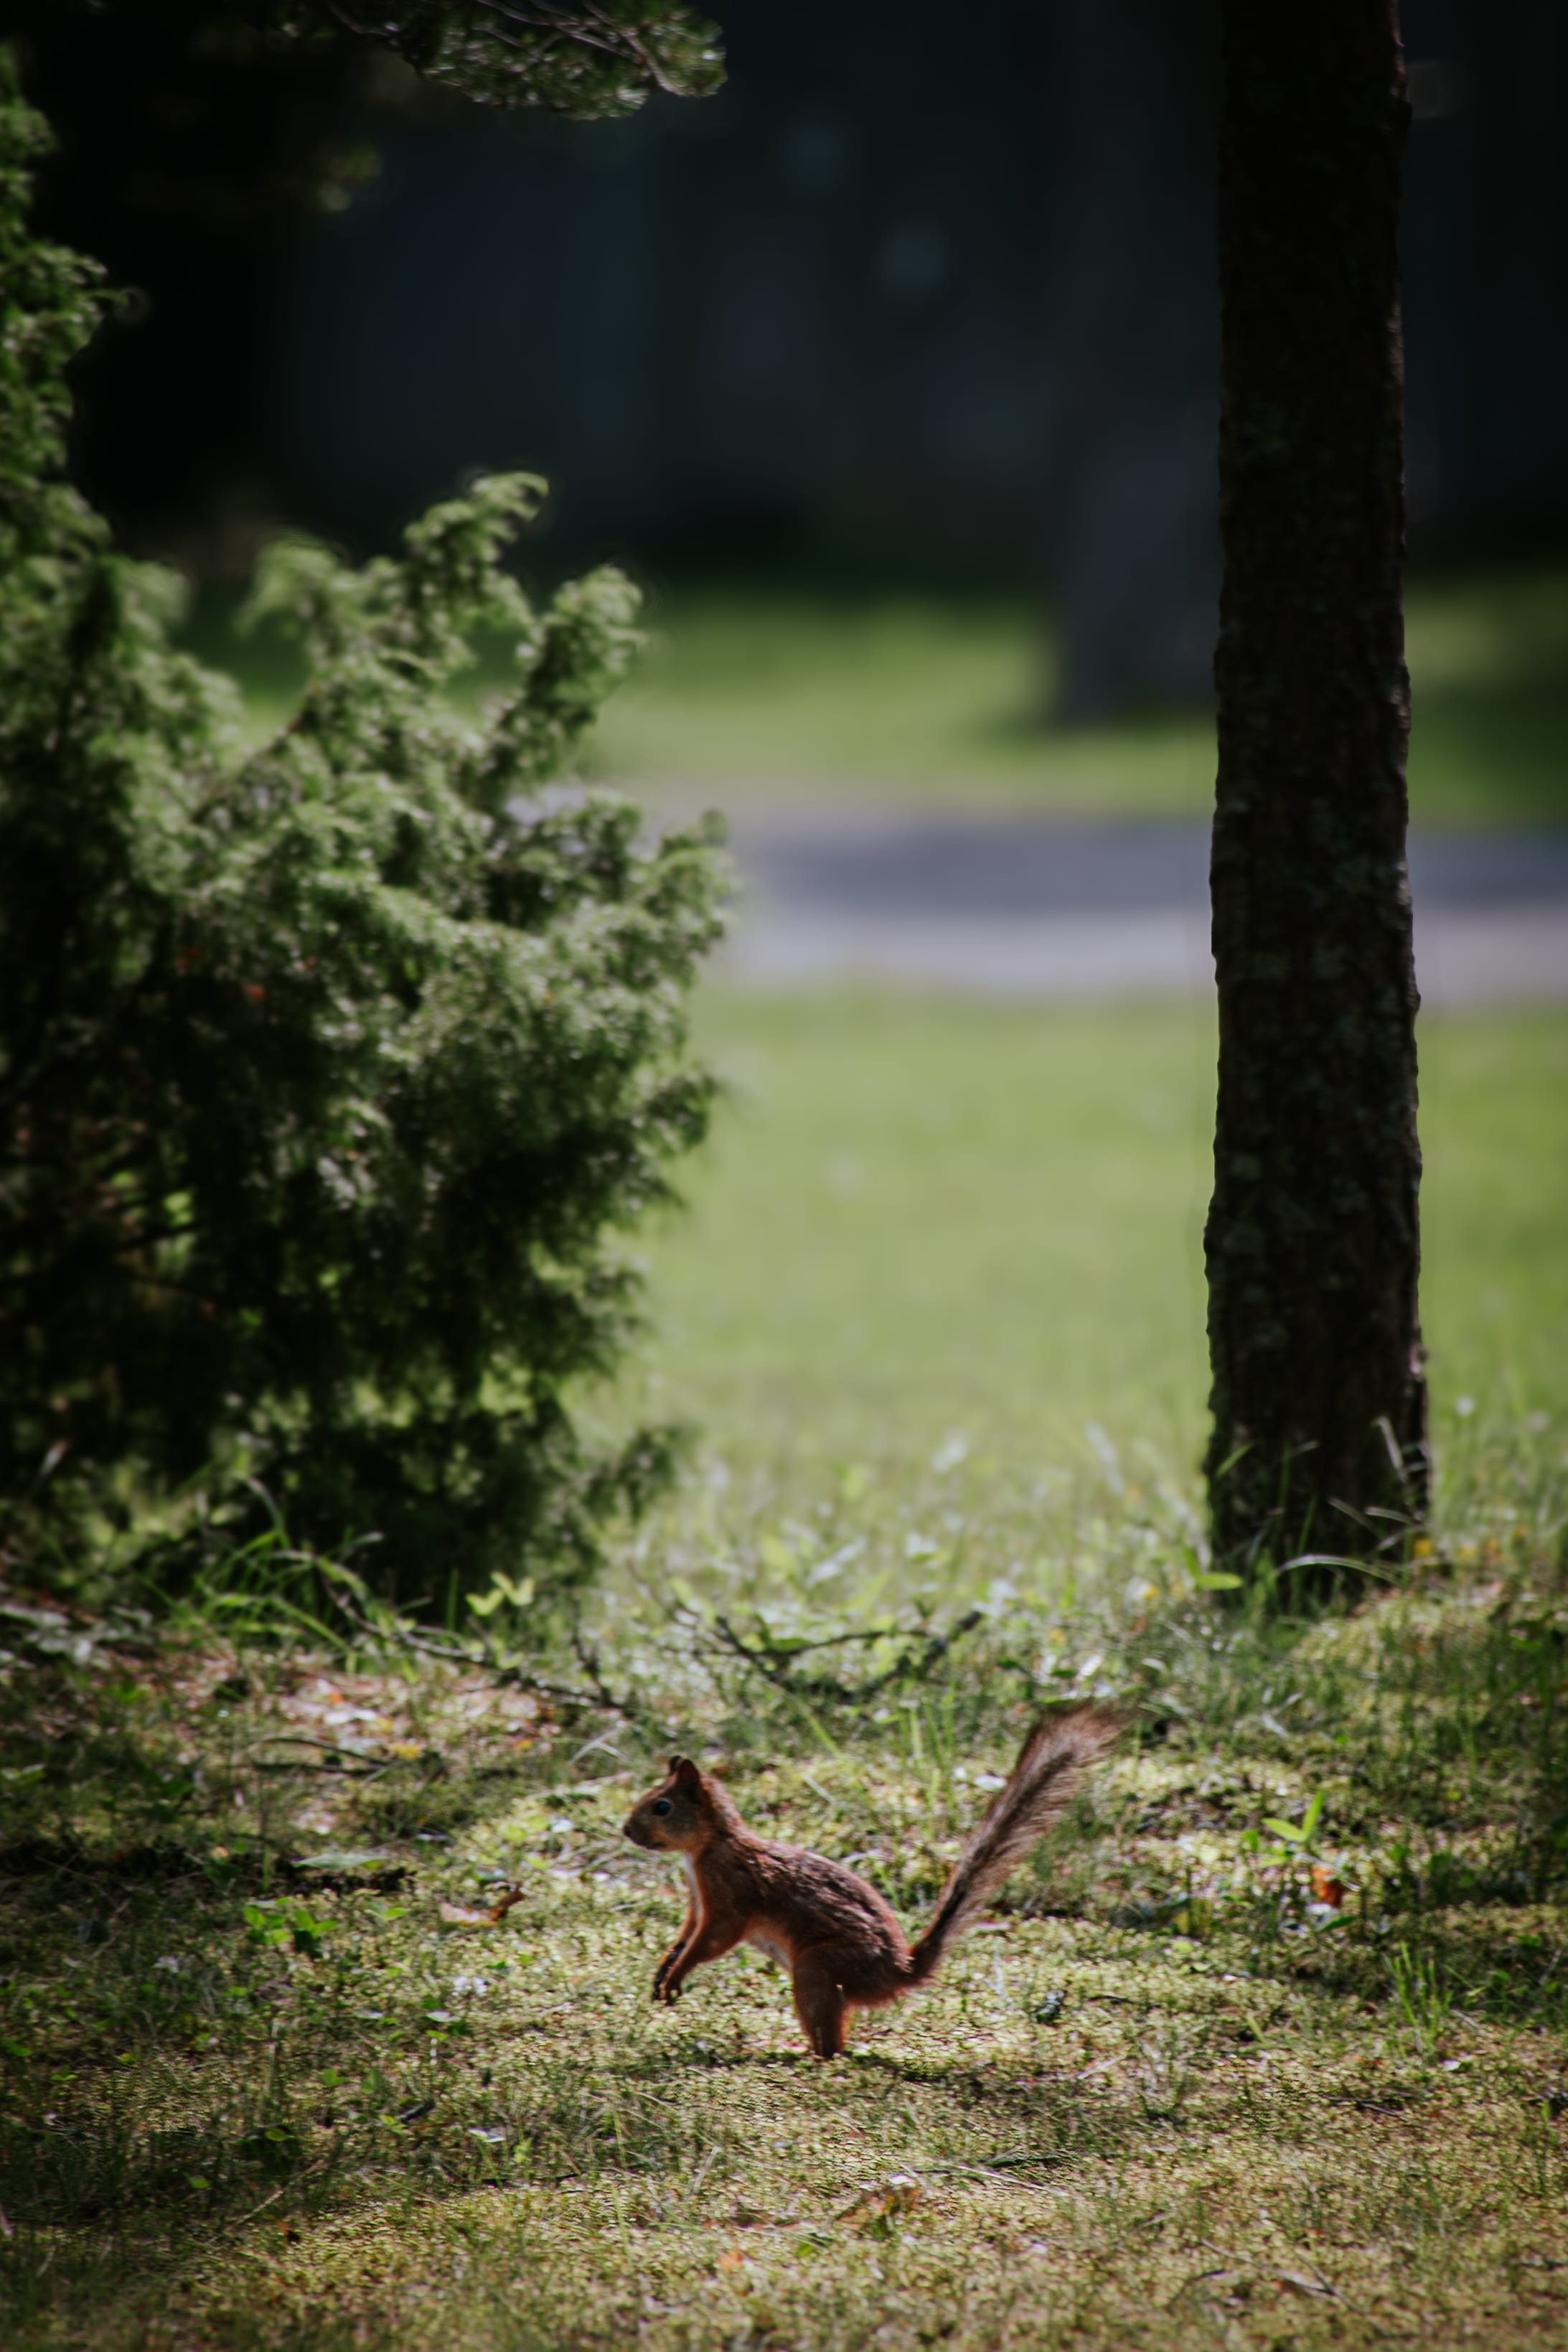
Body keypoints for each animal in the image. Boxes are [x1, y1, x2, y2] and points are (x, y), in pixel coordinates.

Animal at [620, 1708, 1118, 2057]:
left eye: (662, 1807)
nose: (626, 1831)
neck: (707, 1848)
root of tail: (899, 1972)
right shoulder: (697, 1901)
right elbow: (685, 1935)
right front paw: (663, 1972)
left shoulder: (729, 1895)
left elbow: (712, 1940)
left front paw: (676, 1978)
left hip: (818, 1969)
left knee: (831, 2046)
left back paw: (797, 2053)